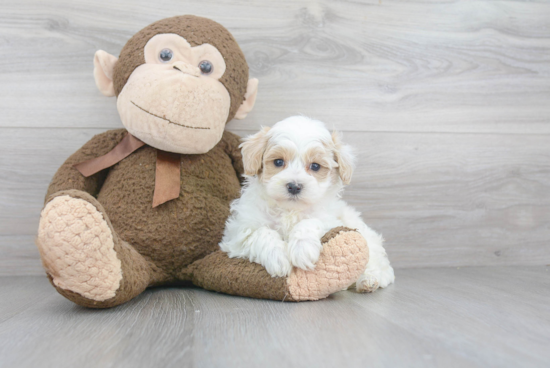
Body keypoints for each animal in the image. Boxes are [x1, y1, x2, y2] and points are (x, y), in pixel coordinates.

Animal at [221, 116, 396, 292]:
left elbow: (310, 222)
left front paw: (302, 249)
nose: (294, 186)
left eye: (315, 166)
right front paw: (278, 257)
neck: (290, 210)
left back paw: (369, 280)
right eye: (278, 162)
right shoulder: (238, 232)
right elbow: (261, 233)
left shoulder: (330, 220)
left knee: (380, 266)